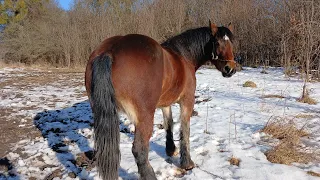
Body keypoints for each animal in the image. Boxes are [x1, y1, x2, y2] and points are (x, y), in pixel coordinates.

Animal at [86, 21, 236, 179]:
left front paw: (171, 150)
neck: (184, 56)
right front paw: (187, 163)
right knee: (139, 150)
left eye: (231, 42)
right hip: (144, 116)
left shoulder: (165, 103)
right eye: (217, 42)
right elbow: (185, 128)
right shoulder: (187, 100)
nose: (230, 68)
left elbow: (168, 124)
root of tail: (110, 51)